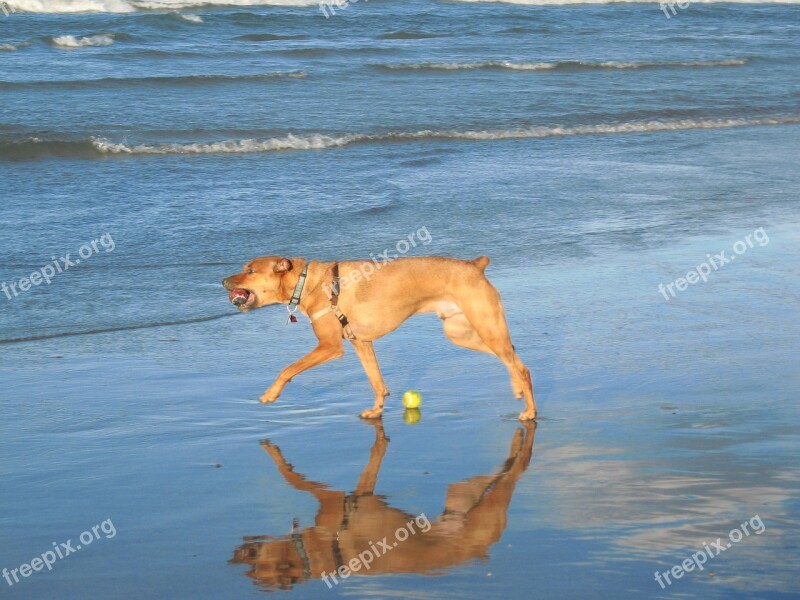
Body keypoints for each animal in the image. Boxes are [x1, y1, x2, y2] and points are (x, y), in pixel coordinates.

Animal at [223, 255, 536, 420]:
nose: (223, 281)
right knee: (511, 356)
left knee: (521, 366)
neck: (308, 282)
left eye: (250, 270)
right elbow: (376, 381)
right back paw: (517, 390)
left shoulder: (329, 347)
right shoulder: (361, 343)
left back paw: (530, 411)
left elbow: (288, 369)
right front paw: (376, 410)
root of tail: (475, 265)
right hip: (462, 333)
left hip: (484, 327)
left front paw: (271, 394)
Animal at [228, 422, 536, 592]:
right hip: (465, 494)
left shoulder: (333, 499)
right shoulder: (360, 493)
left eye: (254, 570)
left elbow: (292, 478)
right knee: (503, 470)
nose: (234, 556)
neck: (313, 555)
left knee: (515, 472)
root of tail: (480, 548)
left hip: (488, 501)